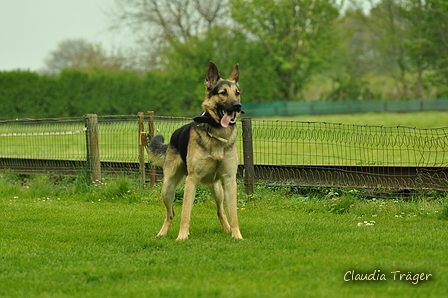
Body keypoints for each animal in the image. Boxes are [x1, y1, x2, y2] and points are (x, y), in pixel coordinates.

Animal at [147, 61, 243, 240]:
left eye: (237, 93)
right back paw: (162, 233)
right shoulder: (191, 181)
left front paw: (237, 236)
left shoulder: (229, 180)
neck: (217, 133)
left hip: (218, 190)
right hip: (167, 188)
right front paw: (182, 237)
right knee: (171, 213)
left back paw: (227, 229)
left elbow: (233, 213)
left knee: (220, 211)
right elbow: (185, 213)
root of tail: (173, 138)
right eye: (223, 93)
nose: (237, 106)